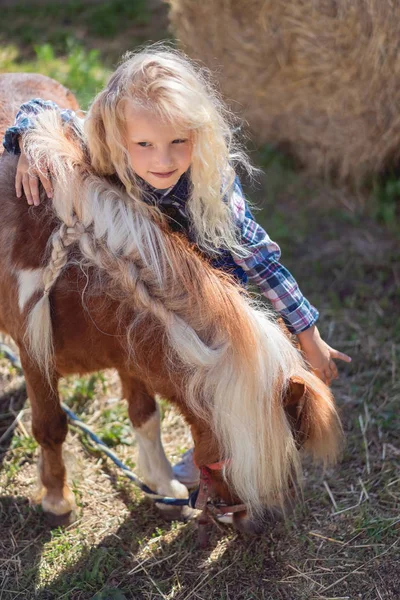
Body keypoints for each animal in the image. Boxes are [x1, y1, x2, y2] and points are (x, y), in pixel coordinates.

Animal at [0, 74, 344, 528]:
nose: (245, 521)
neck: (77, 271)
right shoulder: (36, 356)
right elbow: (51, 425)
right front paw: (57, 498)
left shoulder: (129, 349)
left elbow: (146, 415)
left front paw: (163, 485)